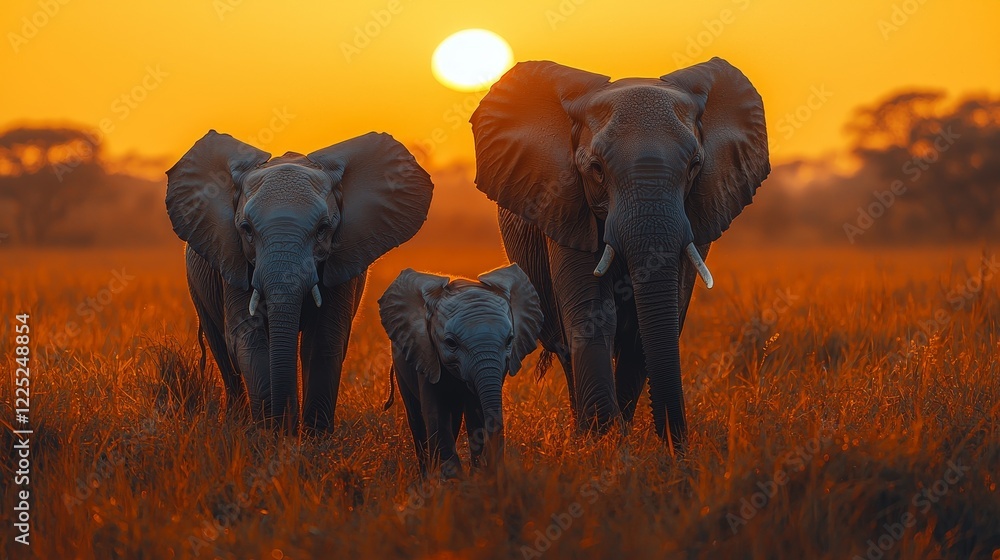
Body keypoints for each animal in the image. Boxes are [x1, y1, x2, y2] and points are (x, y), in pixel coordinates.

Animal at [165, 130, 433, 432]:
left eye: (323, 229)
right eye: (246, 229)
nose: (288, 427)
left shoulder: (340, 260)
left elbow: (324, 338)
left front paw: (314, 437)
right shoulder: (232, 258)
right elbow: (248, 336)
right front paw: (269, 434)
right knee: (222, 350)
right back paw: (236, 423)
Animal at [378, 265, 543, 477]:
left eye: (509, 340)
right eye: (451, 343)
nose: (490, 464)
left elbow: (478, 412)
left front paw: (478, 476)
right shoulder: (426, 354)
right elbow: (437, 416)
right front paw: (455, 481)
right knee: (416, 416)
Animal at [469, 57, 770, 451]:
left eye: (694, 166)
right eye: (596, 169)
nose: (679, 447)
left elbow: (651, 324)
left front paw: (618, 441)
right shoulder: (565, 205)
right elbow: (595, 314)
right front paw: (603, 445)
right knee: (567, 349)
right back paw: (583, 431)